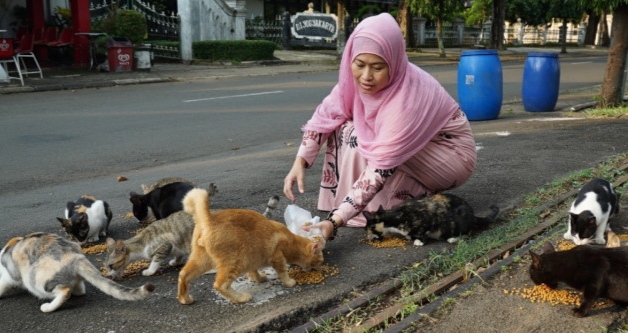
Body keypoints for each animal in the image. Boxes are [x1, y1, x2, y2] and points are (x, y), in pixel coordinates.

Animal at [0, 231, 156, 312]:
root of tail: (75, 257)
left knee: (64, 291)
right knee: (79, 290)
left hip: (36, 280)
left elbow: (3, 284)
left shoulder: (9, 276)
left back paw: (48, 307)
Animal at [177, 187, 324, 304]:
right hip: (235, 262)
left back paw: (185, 299)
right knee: (220, 285)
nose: (321, 267)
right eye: (320, 260)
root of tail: (209, 219)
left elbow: (254, 272)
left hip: (202, 260)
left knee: (183, 274)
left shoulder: (251, 259)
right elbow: (282, 272)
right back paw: (241, 298)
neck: (292, 241)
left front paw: (259, 278)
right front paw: (289, 282)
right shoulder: (277, 257)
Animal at [364, 192, 500, 246]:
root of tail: (473, 214)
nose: (367, 237)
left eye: (366, 229)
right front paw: (410, 237)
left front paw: (419, 241)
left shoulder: (427, 218)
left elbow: (422, 231)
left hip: (461, 216)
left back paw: (453, 238)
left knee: (469, 231)